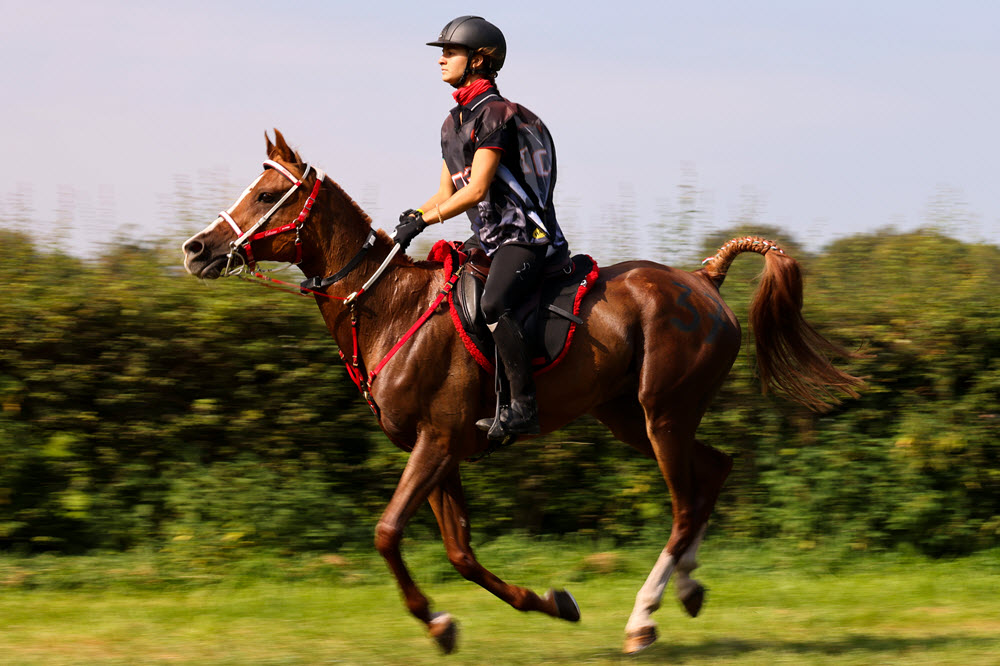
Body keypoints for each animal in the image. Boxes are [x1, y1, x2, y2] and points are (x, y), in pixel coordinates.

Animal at [184, 131, 864, 652]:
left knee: (685, 505)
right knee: (715, 471)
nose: (196, 250)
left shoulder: (435, 443)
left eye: (266, 195)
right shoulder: (442, 452)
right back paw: (690, 589)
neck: (389, 307)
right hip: (630, 418)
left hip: (663, 416)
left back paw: (643, 619)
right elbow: (459, 552)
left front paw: (441, 620)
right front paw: (532, 605)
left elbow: (387, 533)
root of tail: (704, 279)